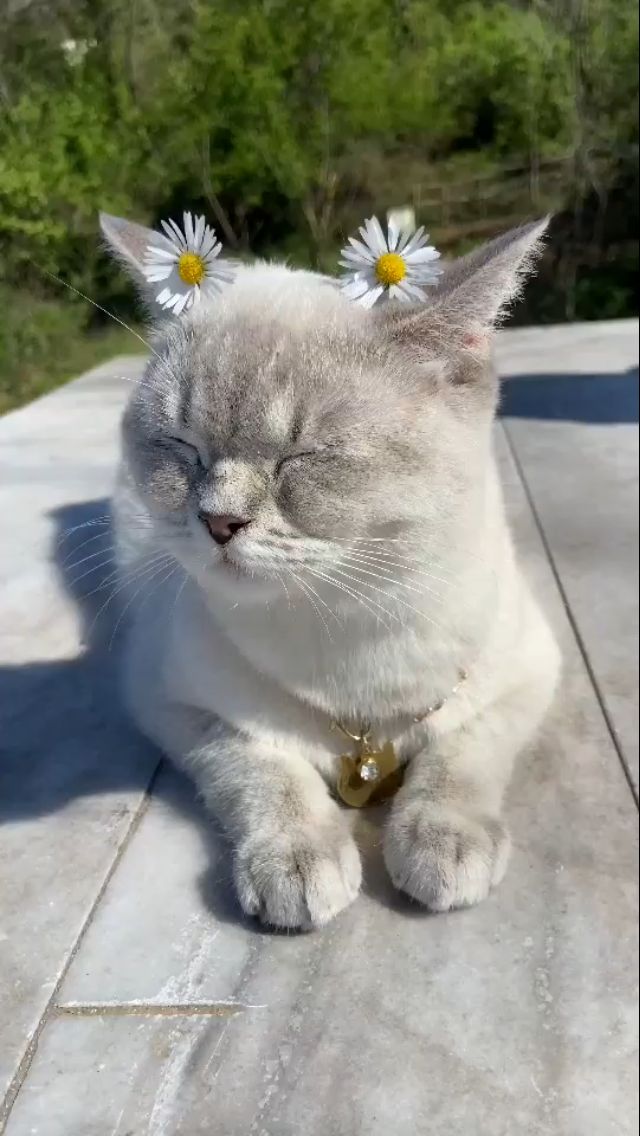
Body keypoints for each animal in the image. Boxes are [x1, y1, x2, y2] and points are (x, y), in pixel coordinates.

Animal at [98, 209, 561, 926]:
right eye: (183, 449)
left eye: (302, 457)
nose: (217, 521)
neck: (354, 626)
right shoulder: (169, 699)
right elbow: (261, 768)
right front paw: (296, 859)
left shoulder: (530, 673)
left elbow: (462, 751)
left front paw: (444, 840)